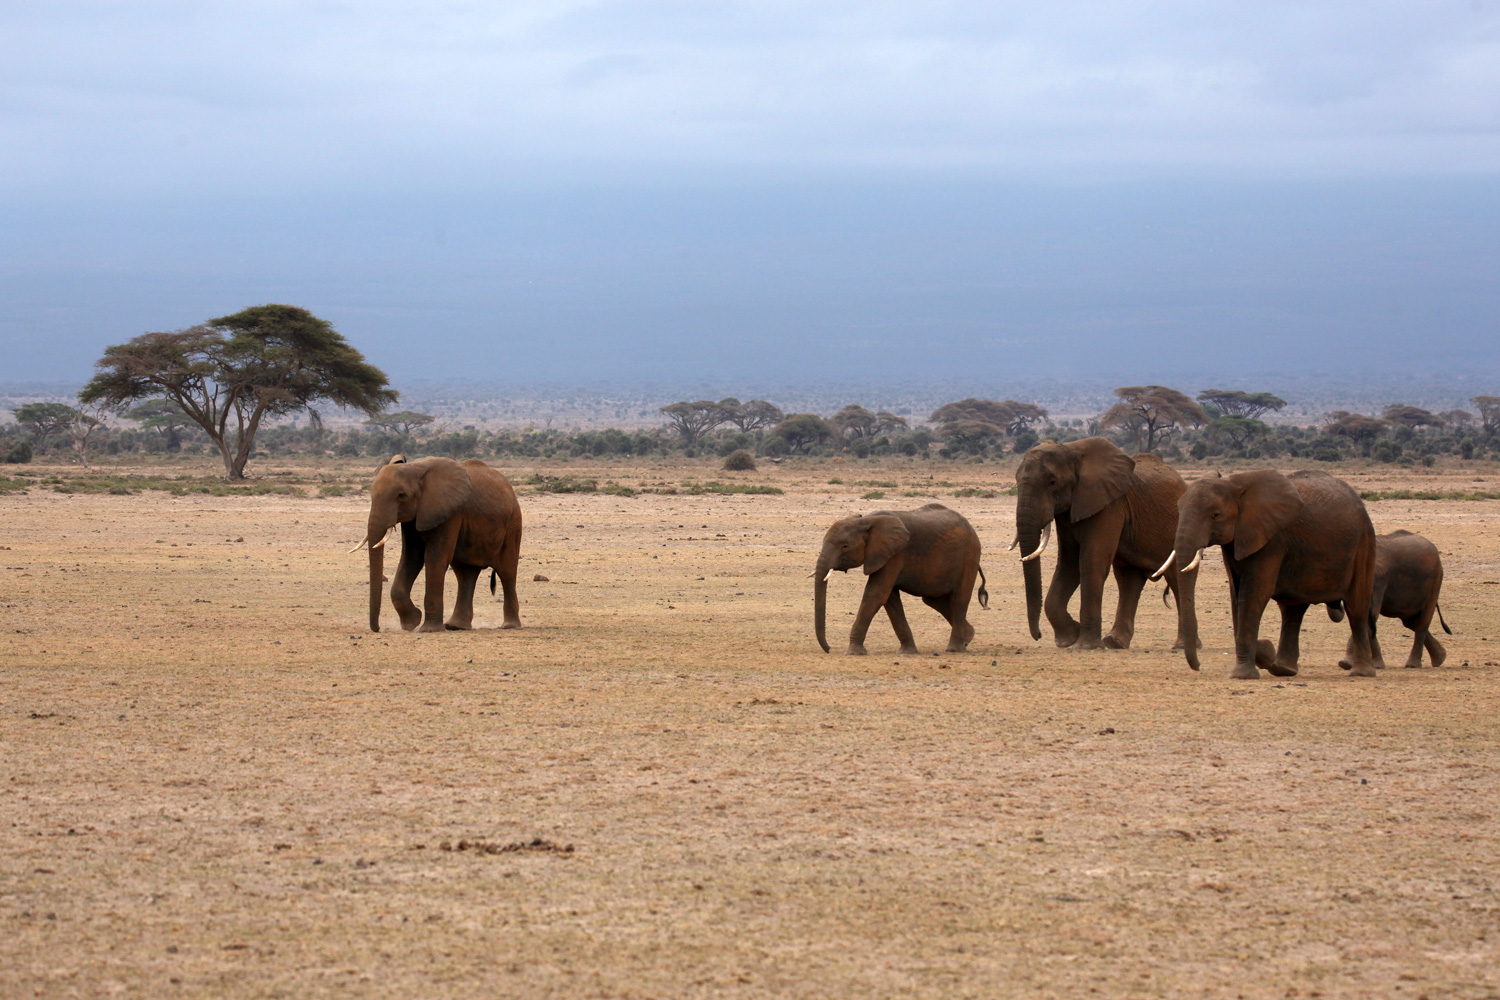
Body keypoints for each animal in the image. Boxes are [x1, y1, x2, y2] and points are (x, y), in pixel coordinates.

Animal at [354, 455, 525, 632]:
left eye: (401, 495)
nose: (377, 628)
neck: (415, 468)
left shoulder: (450, 513)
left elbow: (434, 558)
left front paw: (428, 629)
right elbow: (411, 558)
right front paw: (411, 623)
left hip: (513, 523)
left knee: (506, 573)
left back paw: (509, 626)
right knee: (465, 574)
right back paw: (456, 626)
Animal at [816, 503, 990, 659]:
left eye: (844, 546)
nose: (829, 649)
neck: (866, 520)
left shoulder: (895, 554)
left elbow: (876, 594)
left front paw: (853, 652)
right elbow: (889, 599)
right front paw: (907, 652)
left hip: (969, 556)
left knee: (960, 598)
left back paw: (954, 649)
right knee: (933, 600)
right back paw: (968, 637)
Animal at [1014, 437, 1188, 650]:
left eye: (1052, 482)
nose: (1038, 635)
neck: (1071, 450)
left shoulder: (1110, 506)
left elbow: (1091, 563)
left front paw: (1085, 645)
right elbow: (1068, 565)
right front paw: (1069, 638)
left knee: (1176, 578)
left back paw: (1182, 645)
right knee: (1128, 580)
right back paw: (1115, 642)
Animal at [1158, 470, 1380, 680]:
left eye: (1215, 515)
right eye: (1179, 510)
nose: (1198, 666)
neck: (1234, 484)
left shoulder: (1271, 539)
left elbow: (1254, 593)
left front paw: (1244, 674)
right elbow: (1236, 594)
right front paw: (1264, 652)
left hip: (1364, 543)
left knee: (1356, 608)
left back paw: (1361, 672)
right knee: (1293, 610)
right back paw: (1283, 669)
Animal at [1344, 530, 1446, 671]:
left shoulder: (1378, 580)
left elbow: (1369, 616)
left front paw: (1349, 664)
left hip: (1435, 582)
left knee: (1422, 622)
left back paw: (1413, 665)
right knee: (1410, 622)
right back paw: (1440, 658)